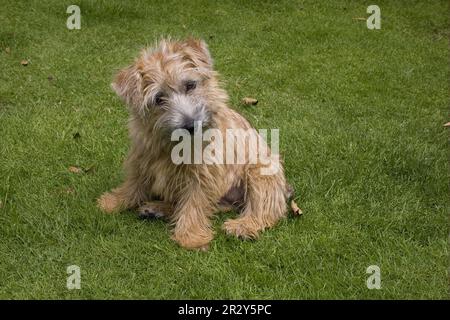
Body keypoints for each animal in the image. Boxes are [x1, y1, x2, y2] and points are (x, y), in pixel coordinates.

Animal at [97, 37, 292, 248]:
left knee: (266, 209)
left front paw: (190, 236)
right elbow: (134, 184)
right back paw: (157, 208)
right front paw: (115, 200)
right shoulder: (142, 158)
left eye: (190, 85)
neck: (172, 146)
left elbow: (194, 203)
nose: (190, 125)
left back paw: (244, 225)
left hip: (260, 170)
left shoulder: (202, 175)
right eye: (159, 98)